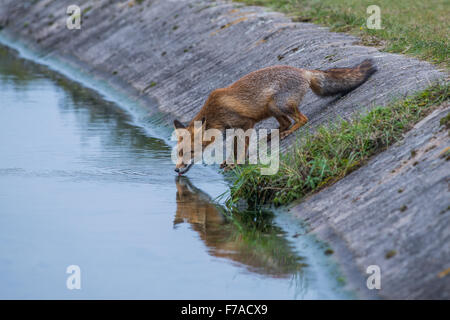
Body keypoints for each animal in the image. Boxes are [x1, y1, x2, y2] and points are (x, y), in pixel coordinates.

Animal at [174, 58, 378, 174]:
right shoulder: (235, 129)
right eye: (179, 153)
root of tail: (303, 71)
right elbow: (235, 147)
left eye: (190, 152)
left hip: (277, 104)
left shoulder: (245, 123)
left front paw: (236, 163)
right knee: (286, 123)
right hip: (272, 109)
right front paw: (230, 161)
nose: (176, 170)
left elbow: (241, 148)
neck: (215, 111)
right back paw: (273, 135)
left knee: (301, 120)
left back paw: (287, 133)